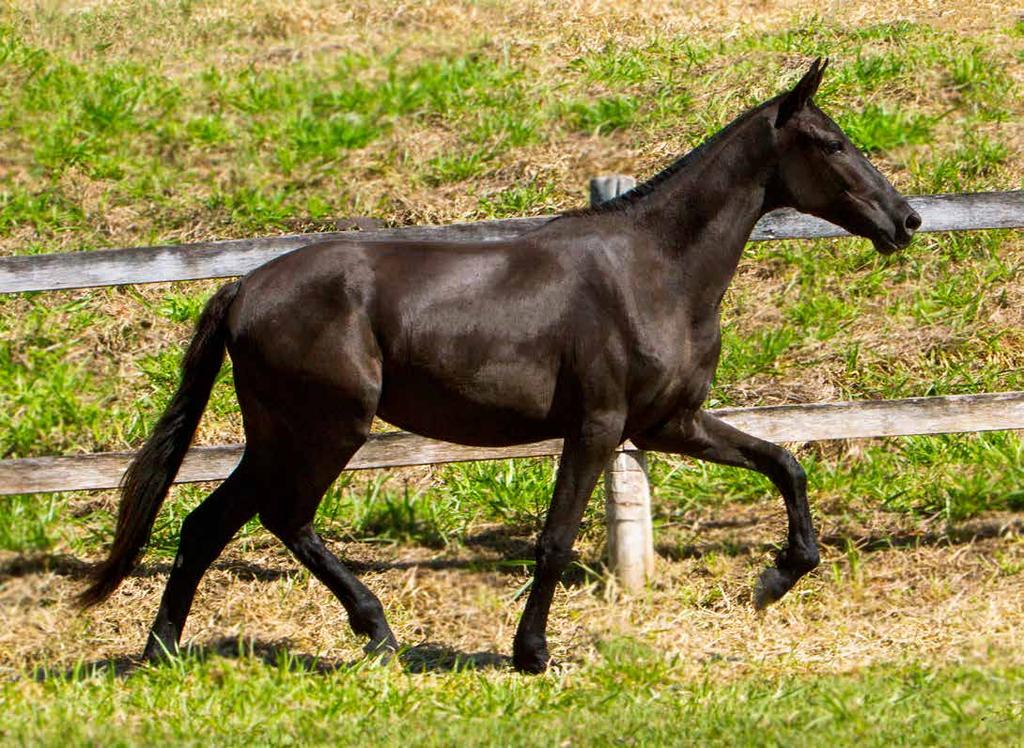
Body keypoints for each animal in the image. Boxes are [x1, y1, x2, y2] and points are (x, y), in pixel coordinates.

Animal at [81, 59, 921, 672]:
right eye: (832, 143)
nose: (906, 220)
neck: (653, 270)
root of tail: (245, 288)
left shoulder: (668, 424)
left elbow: (784, 462)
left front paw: (776, 579)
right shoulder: (598, 426)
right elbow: (554, 540)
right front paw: (531, 653)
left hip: (278, 435)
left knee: (207, 522)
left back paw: (162, 652)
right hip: (327, 429)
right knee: (282, 518)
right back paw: (375, 631)